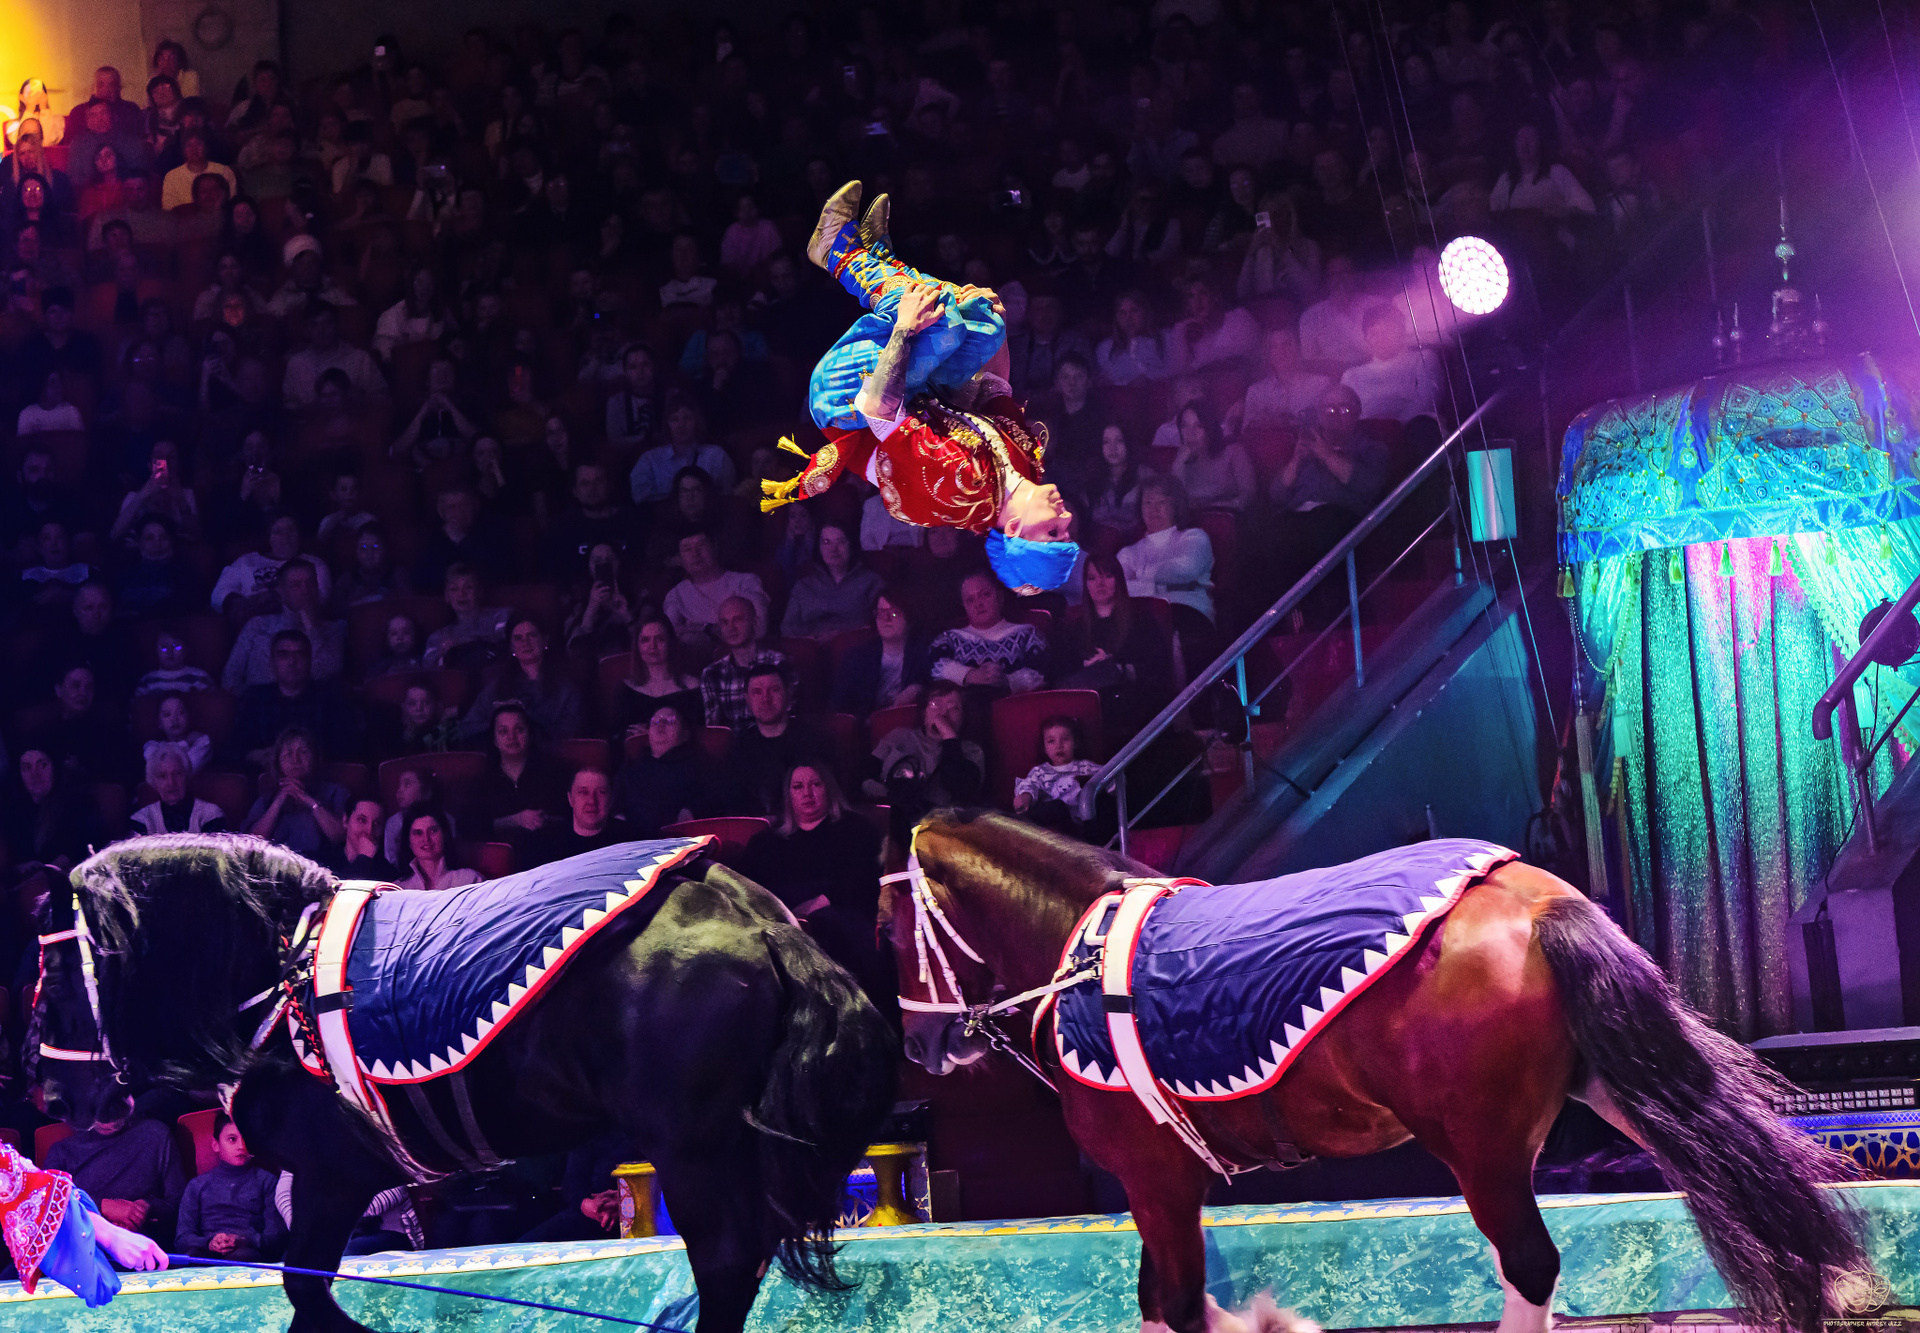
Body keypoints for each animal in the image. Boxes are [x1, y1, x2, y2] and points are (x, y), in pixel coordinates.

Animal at [31, 833, 897, 1333]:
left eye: (51, 974)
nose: (57, 1097)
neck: (282, 972)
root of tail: (758, 918)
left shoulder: (333, 1174)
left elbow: (306, 1289)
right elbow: (307, 1292)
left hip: (690, 1147)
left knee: (723, 1258)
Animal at [882, 811, 1869, 1333]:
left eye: (891, 923)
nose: (919, 1046)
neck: (1085, 954)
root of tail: (1534, 903)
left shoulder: (1157, 1180)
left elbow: (1181, 1303)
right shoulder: (1163, 1184)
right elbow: (1162, 1301)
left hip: (1481, 1147)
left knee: (1530, 1262)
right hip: (1618, 1091)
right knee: (1740, 1180)